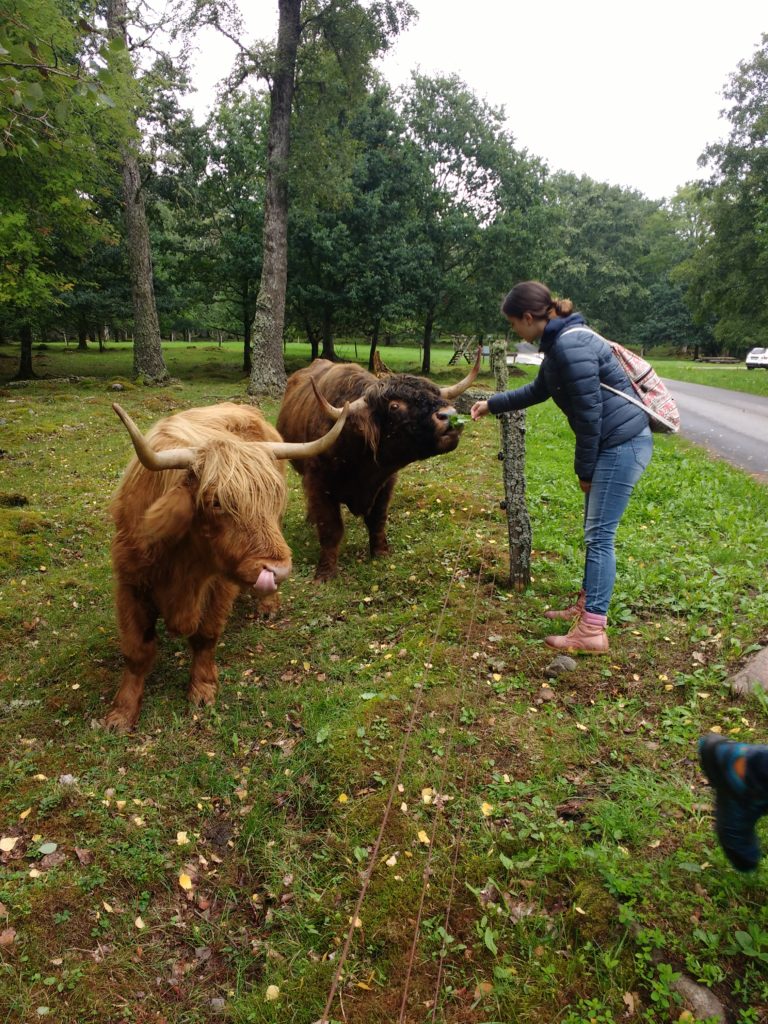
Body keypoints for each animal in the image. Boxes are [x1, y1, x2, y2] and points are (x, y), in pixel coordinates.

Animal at [107, 397, 348, 729]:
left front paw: (202, 689)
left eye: (274, 498)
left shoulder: (220, 586)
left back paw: (267, 607)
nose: (278, 570)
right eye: (216, 502)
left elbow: (206, 636)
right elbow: (137, 651)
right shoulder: (130, 582)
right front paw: (121, 713)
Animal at [276, 350, 481, 577]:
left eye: (436, 395)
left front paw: (381, 553)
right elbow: (331, 528)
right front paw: (325, 572)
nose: (450, 416)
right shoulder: (318, 483)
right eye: (394, 405)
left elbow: (377, 519)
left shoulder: (385, 482)